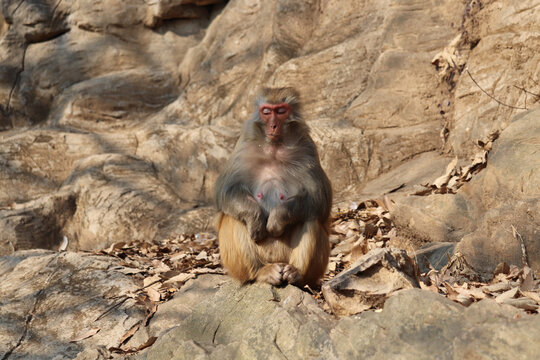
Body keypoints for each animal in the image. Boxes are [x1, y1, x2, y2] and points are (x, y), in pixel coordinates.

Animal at [213, 87, 332, 286]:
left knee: (310, 216)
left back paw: (296, 273)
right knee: (232, 217)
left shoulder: (307, 150)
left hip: (312, 268)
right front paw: (255, 220)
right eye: (267, 111)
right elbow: (226, 191)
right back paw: (260, 272)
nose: (273, 126)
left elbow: (319, 198)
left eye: (281, 111)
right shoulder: (244, 148)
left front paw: (277, 219)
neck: (274, 150)